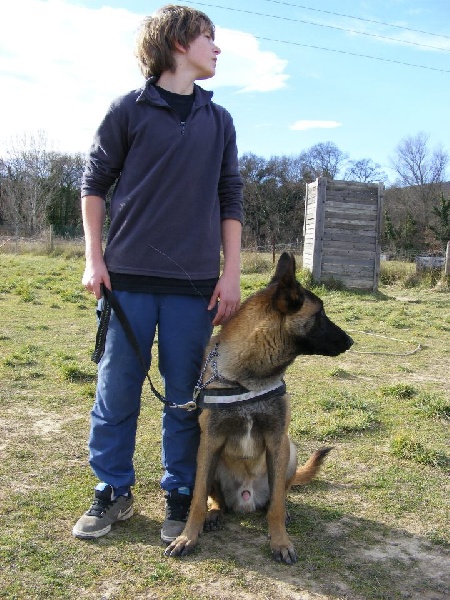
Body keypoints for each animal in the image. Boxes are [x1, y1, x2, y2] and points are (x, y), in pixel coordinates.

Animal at [163, 252, 354, 564]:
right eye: (320, 315)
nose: (351, 341)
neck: (248, 378)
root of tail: (246, 499)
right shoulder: (210, 442)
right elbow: (198, 499)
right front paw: (187, 537)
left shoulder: (277, 441)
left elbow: (276, 505)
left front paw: (280, 542)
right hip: (204, 458)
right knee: (215, 500)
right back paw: (215, 513)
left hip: (290, 451)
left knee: (279, 496)